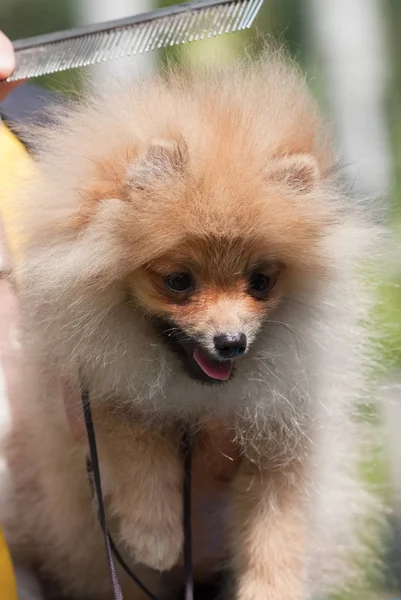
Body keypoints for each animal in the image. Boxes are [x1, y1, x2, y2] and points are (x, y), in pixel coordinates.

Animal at [0, 48, 382, 600]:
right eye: (178, 281)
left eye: (261, 281)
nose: (230, 342)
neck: (198, 393)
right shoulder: (101, 389)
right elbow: (138, 448)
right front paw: (155, 535)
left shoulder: (283, 437)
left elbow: (277, 526)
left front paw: (271, 589)